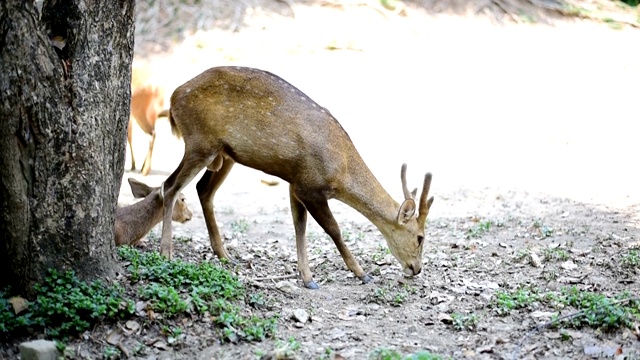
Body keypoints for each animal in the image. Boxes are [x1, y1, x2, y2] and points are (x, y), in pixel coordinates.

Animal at [159, 66, 436, 288]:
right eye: (420, 237)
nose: (416, 268)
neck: (341, 171)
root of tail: (173, 98)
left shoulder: (295, 183)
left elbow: (298, 226)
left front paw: (307, 278)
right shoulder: (309, 186)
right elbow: (333, 229)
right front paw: (361, 273)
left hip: (225, 154)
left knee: (203, 189)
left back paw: (224, 254)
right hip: (200, 142)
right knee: (170, 186)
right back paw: (166, 252)